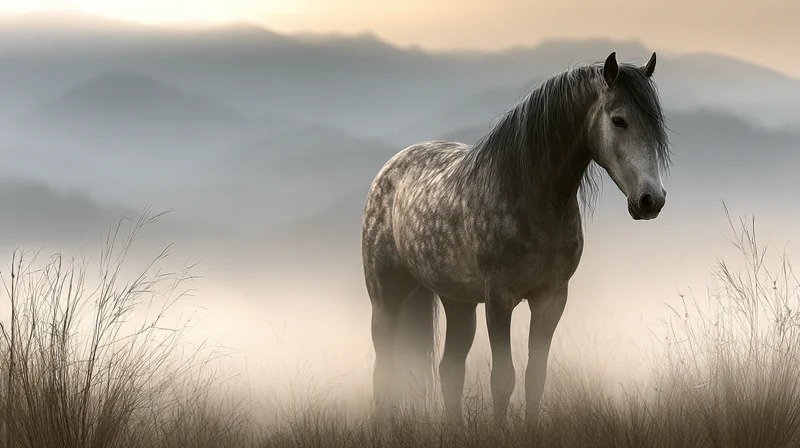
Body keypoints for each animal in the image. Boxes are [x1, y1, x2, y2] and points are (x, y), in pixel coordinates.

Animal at [361, 51, 670, 427]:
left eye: (655, 123)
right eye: (619, 120)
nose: (651, 200)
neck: (528, 194)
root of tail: (390, 168)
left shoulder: (552, 298)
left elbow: (535, 376)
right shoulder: (499, 299)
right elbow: (503, 378)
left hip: (458, 302)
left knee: (449, 371)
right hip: (386, 299)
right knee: (383, 372)